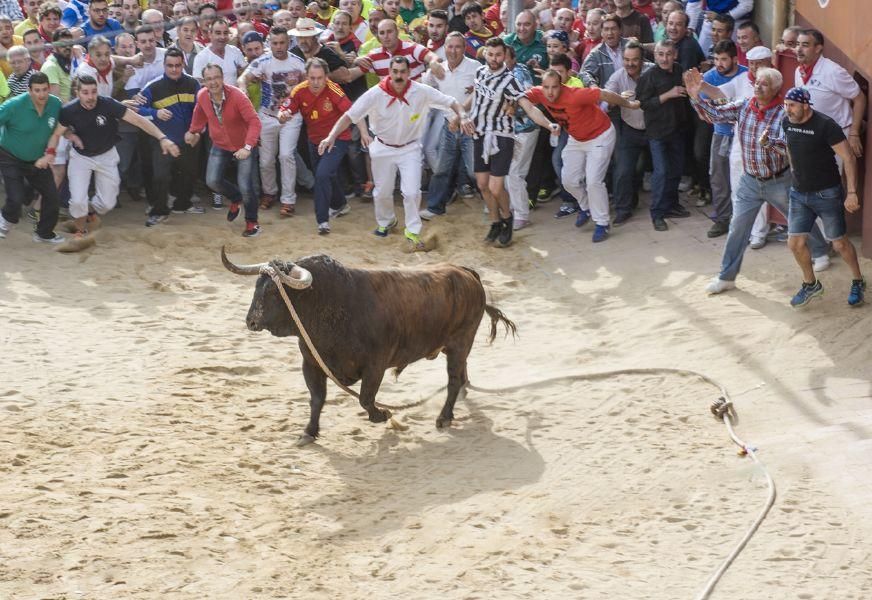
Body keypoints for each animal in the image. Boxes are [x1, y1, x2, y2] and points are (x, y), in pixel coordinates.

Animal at [221, 245, 516, 446]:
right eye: (257, 285)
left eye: (273, 291)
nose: (250, 321)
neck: (330, 305)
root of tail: (467, 273)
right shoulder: (312, 363)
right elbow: (317, 399)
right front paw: (309, 432)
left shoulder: (375, 366)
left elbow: (365, 399)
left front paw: (383, 415)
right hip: (458, 346)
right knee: (461, 374)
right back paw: (463, 395)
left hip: (459, 342)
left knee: (453, 379)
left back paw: (445, 416)